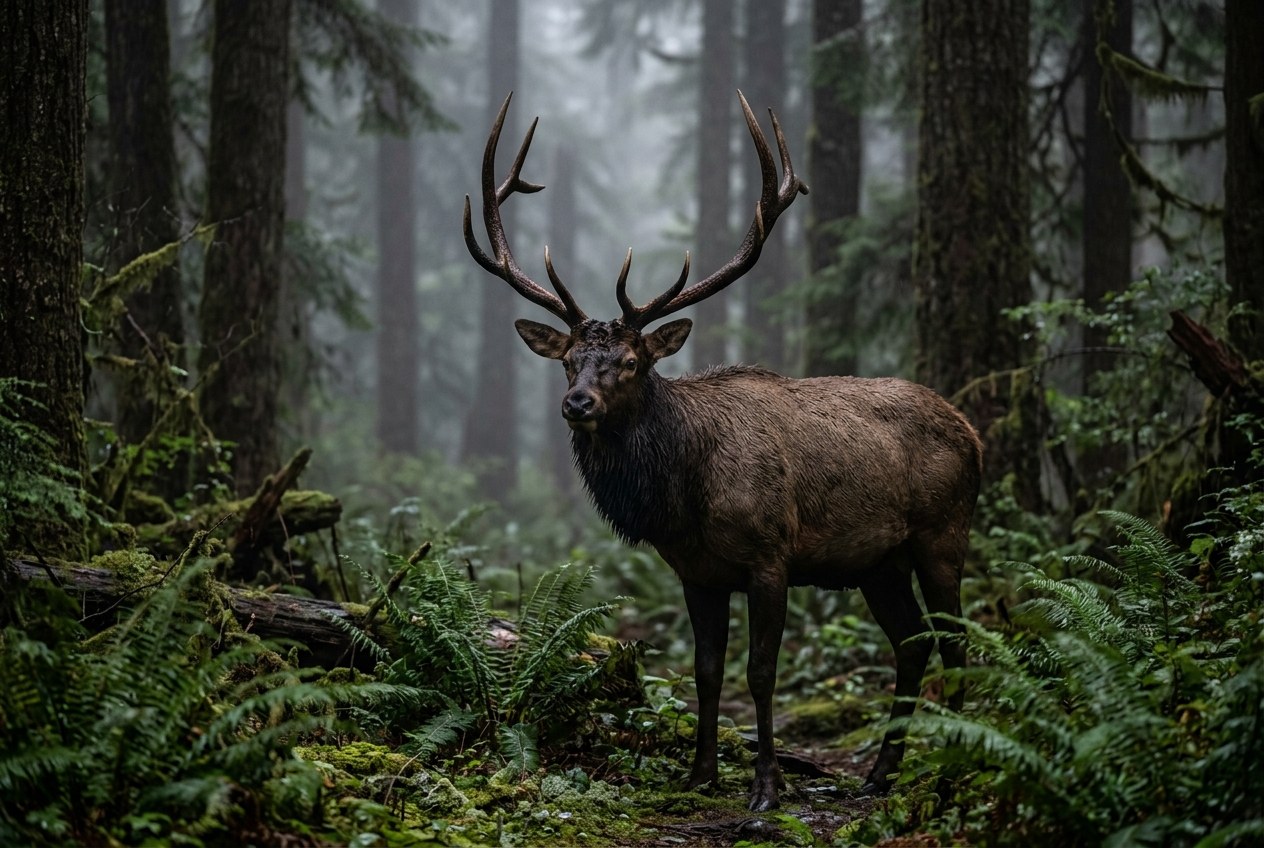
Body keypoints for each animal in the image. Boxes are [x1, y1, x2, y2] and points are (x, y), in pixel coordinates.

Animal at [463, 91, 983, 812]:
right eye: (568, 361)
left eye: (631, 362)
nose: (577, 405)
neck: (684, 496)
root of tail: (974, 433)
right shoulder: (696, 572)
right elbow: (707, 672)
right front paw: (701, 774)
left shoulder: (771, 557)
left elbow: (759, 672)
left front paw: (765, 786)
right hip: (879, 562)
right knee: (911, 644)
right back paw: (880, 773)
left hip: (942, 533)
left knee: (956, 644)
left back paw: (952, 772)